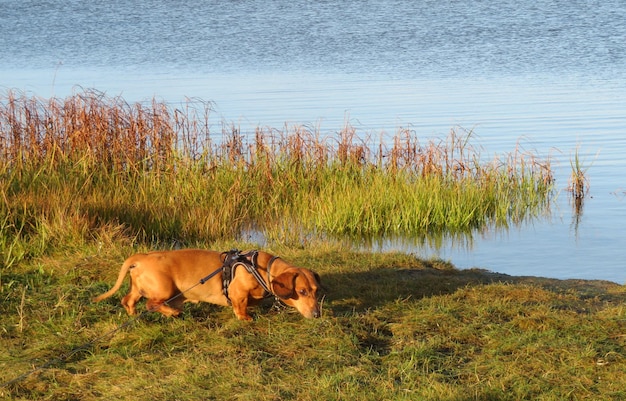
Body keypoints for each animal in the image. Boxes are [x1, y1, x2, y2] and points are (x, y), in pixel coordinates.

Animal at [92, 248, 322, 320]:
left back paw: (133, 315)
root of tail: (141, 258)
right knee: (152, 304)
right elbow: (241, 307)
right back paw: (173, 312)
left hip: (138, 288)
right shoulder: (238, 293)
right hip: (164, 289)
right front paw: (246, 318)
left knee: (128, 300)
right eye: (301, 291)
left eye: (316, 291)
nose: (317, 314)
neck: (263, 269)